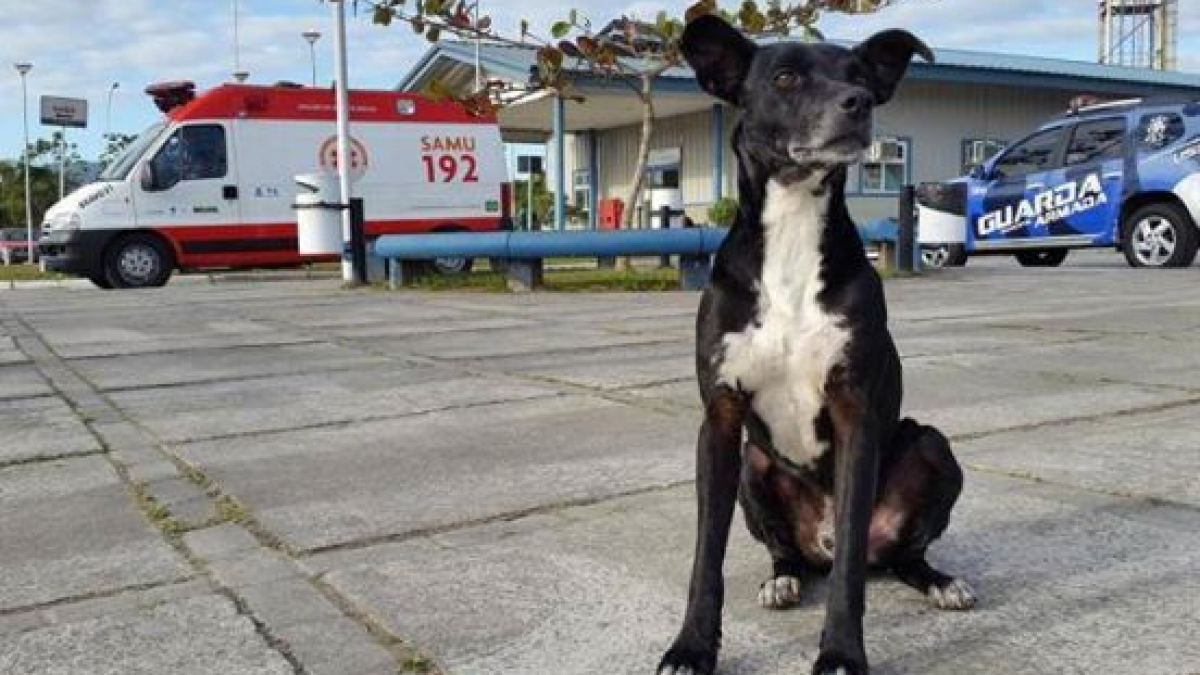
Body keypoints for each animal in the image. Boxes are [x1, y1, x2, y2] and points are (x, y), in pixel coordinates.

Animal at [662, 14, 979, 672]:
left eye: (859, 75)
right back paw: (782, 577)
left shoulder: (854, 414)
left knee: (889, 557)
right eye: (785, 77)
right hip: (754, 465)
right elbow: (707, 556)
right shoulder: (720, 422)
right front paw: (692, 647)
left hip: (930, 446)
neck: (792, 230)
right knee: (791, 554)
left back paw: (938, 581)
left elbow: (850, 575)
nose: (856, 103)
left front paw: (841, 653)